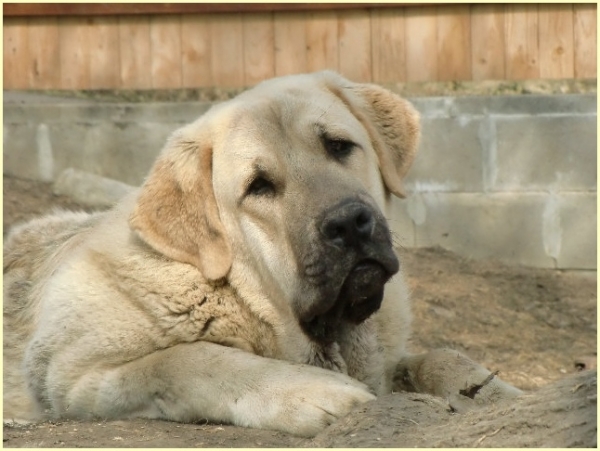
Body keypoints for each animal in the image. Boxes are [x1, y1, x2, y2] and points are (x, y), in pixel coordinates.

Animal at [3, 71, 520, 438]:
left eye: (339, 146)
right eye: (259, 187)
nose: (349, 223)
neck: (239, 293)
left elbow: (440, 357)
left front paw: (499, 393)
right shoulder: (73, 376)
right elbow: (188, 359)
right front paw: (314, 392)